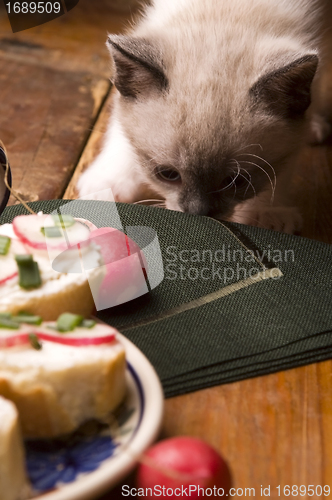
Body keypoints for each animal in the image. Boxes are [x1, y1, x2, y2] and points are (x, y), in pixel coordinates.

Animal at [77, 0, 330, 233]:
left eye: (237, 181)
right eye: (168, 174)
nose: (198, 213)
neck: (226, 14)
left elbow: (280, 174)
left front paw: (270, 214)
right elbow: (120, 134)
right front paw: (106, 185)